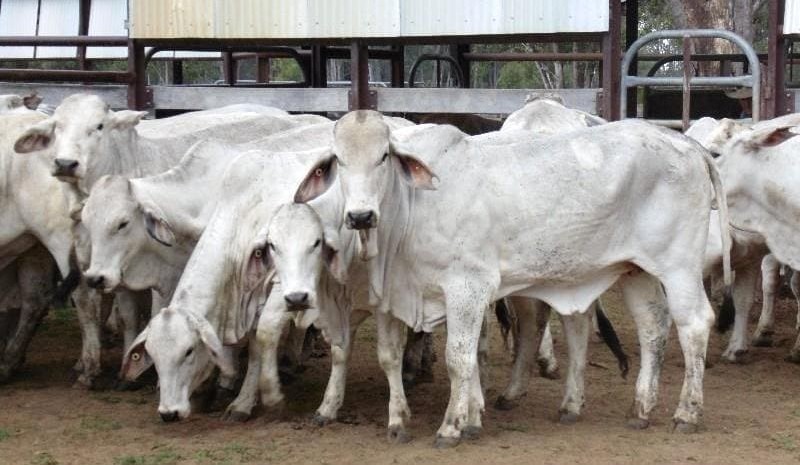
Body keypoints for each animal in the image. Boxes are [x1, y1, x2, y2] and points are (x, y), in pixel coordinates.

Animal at [294, 111, 730, 446]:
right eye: (338, 160)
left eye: (383, 156)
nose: (360, 216)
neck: (413, 207)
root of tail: (685, 143)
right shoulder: (396, 296)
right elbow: (394, 356)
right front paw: (416, 420)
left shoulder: (468, 287)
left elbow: (459, 357)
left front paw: (452, 426)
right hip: (636, 270)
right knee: (653, 328)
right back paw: (640, 408)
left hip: (678, 266)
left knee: (694, 324)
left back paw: (687, 413)